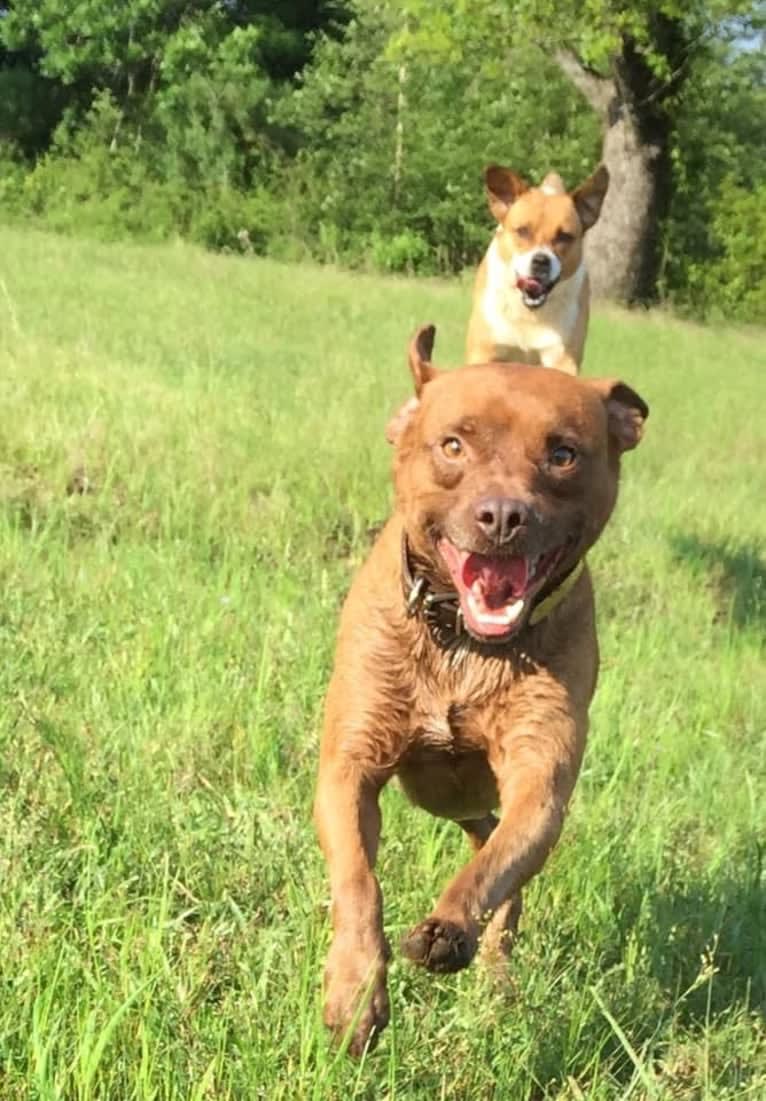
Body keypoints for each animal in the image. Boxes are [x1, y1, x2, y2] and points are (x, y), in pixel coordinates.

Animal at [314, 321, 647, 1052]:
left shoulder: (539, 777)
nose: (502, 515)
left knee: (498, 856)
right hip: (438, 791)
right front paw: (355, 989)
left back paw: (495, 973)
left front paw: (449, 928)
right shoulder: (351, 765)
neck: (465, 645)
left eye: (563, 454)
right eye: (453, 445)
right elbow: (357, 880)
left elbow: (495, 865)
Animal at [466, 165, 611, 374]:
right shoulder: (485, 350)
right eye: (522, 231)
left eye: (564, 236)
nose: (541, 261)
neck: (529, 315)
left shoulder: (562, 357)